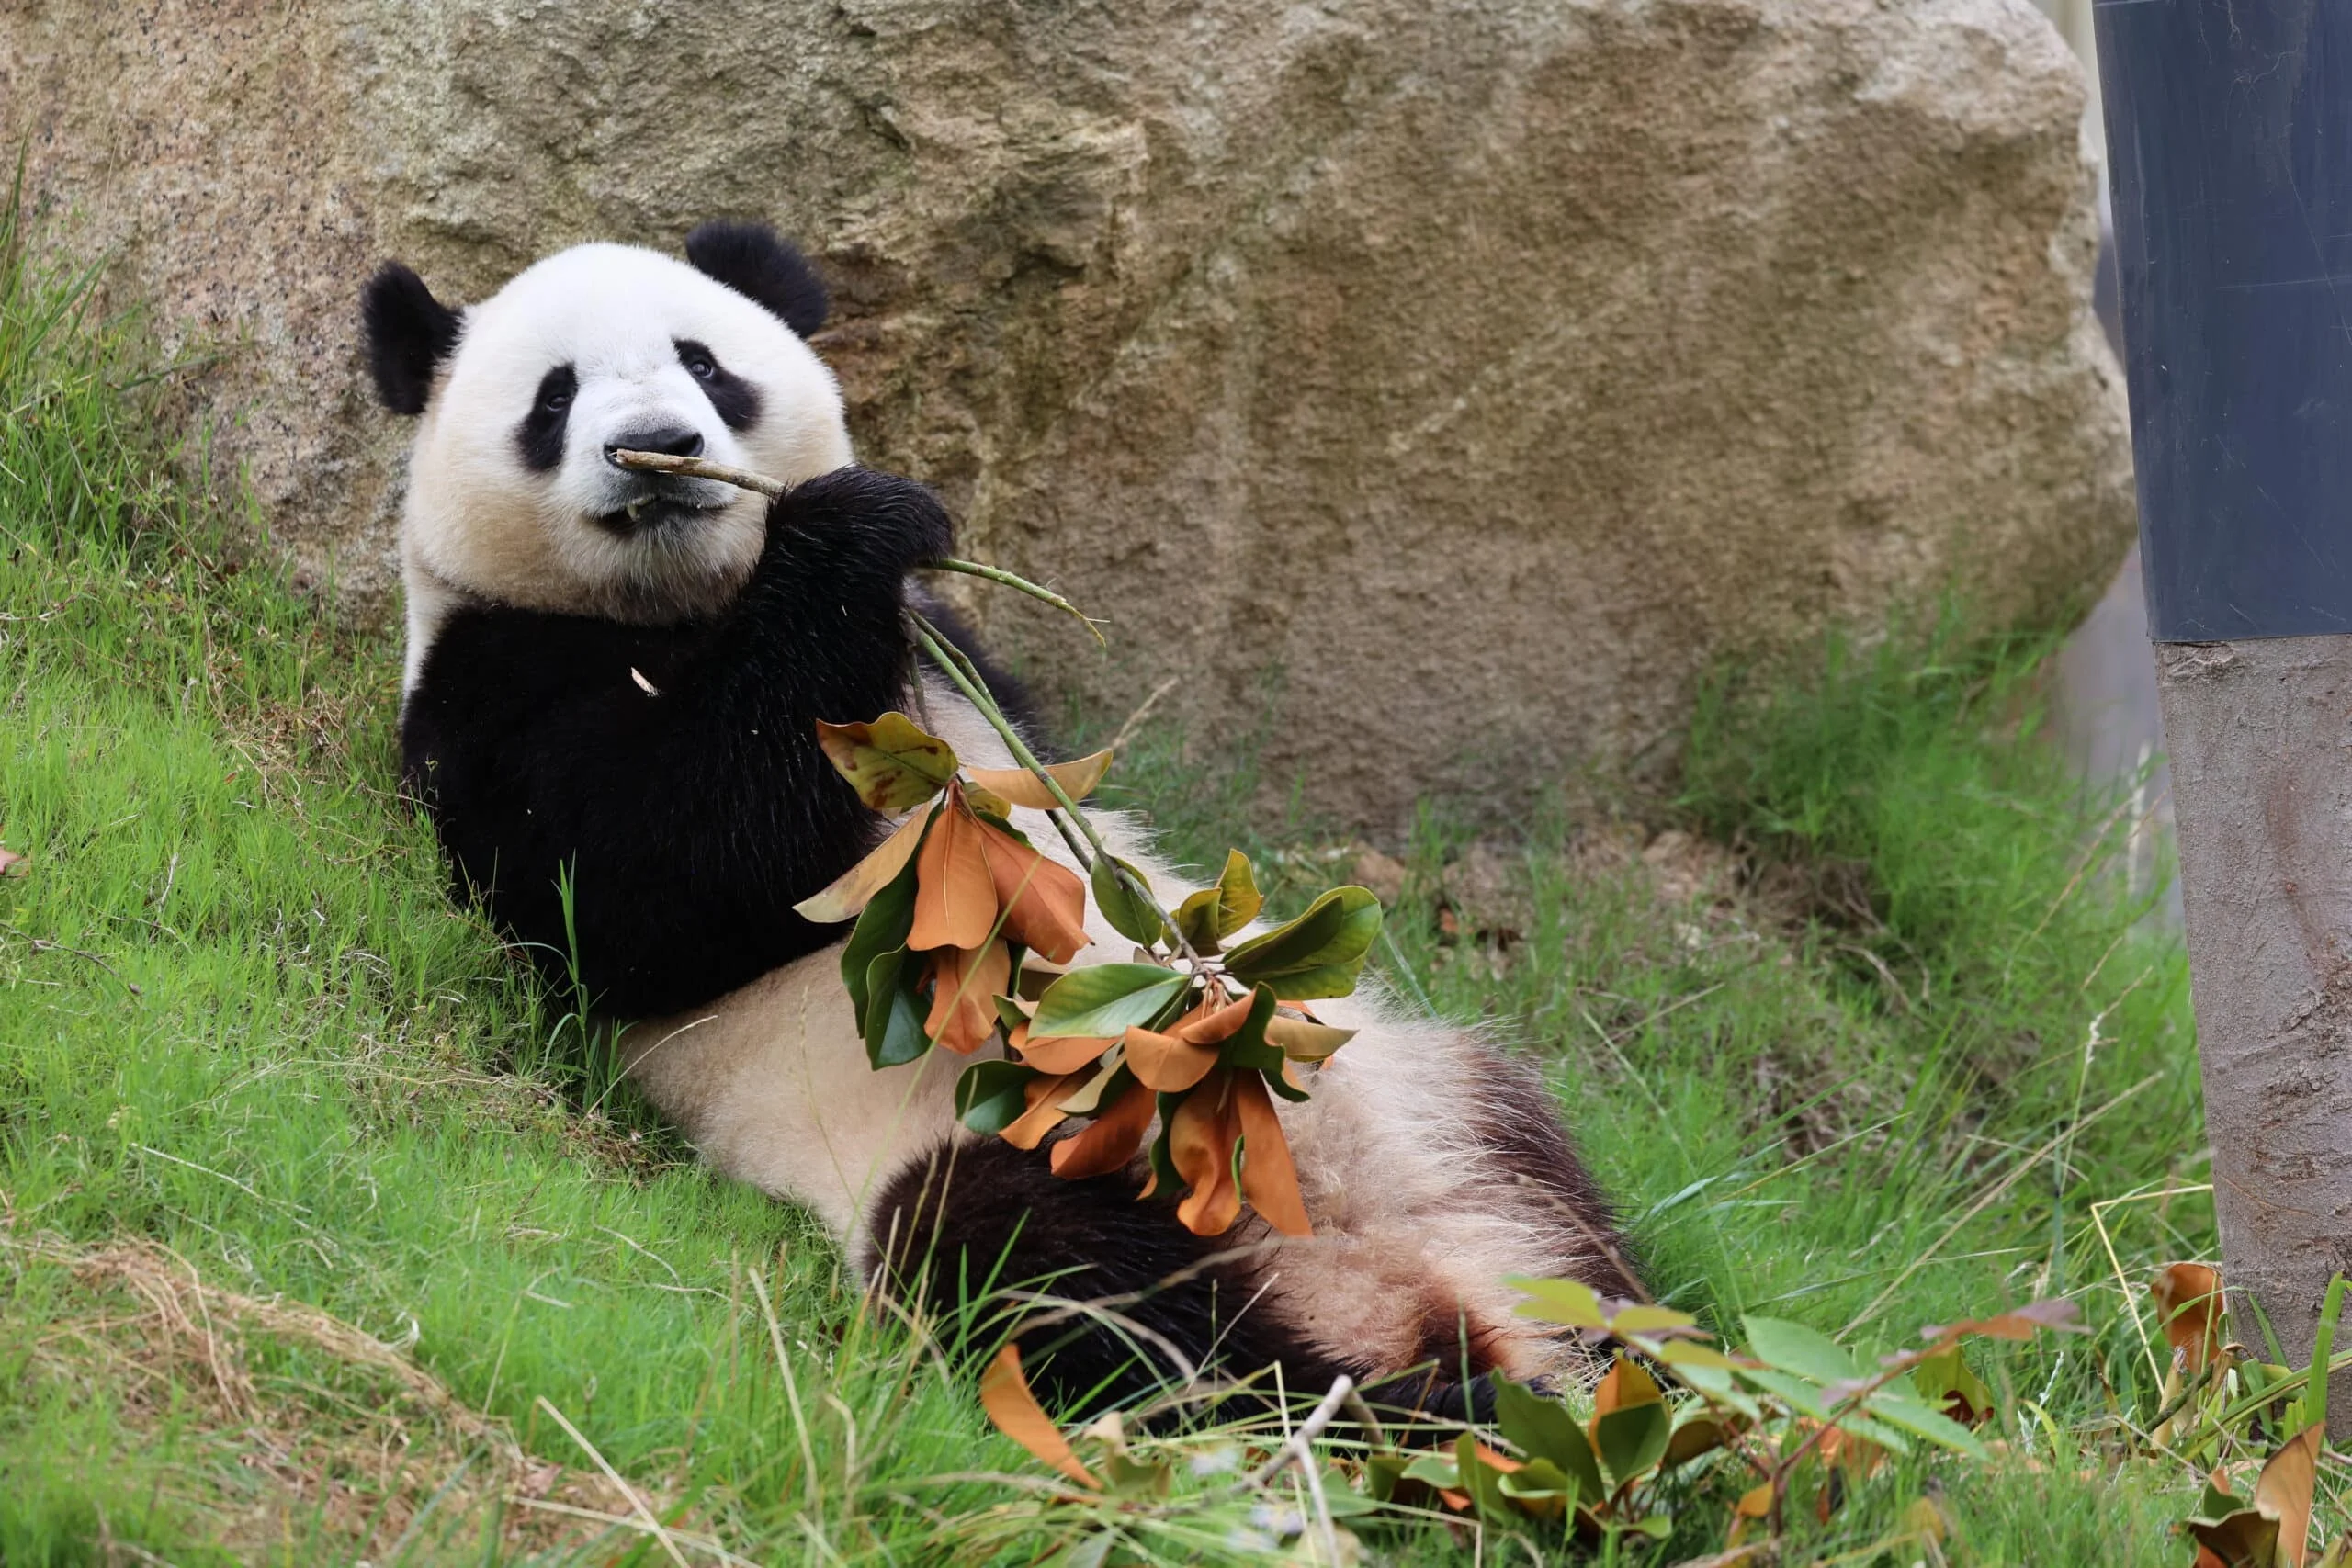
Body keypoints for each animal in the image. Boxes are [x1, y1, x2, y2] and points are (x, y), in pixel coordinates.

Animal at [363, 221, 1641, 1419]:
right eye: (555, 397)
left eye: (705, 365)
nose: (661, 450)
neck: (689, 602)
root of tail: (1387, 1280)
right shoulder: (490, 689)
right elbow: (644, 887)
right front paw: (849, 528)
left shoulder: (953, 663)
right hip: (1030, 1148)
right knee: (1047, 1278)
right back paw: (1422, 1411)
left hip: (1410, 1092)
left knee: (1554, 1195)